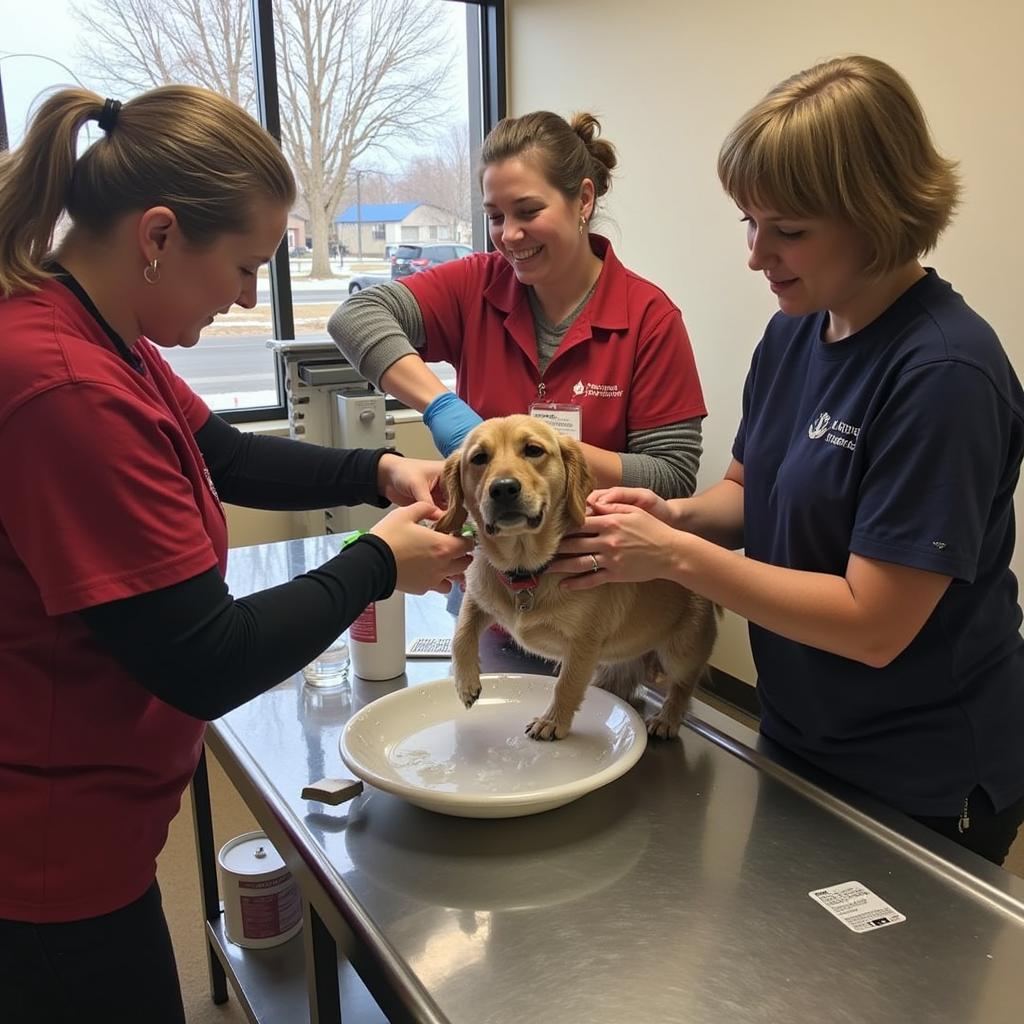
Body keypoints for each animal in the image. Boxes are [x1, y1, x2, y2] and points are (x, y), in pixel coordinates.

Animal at [434, 411, 720, 741]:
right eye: (479, 458)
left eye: (533, 450)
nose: (504, 488)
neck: (526, 570)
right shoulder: (477, 598)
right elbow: (462, 634)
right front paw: (466, 682)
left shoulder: (583, 643)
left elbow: (567, 684)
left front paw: (553, 721)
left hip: (679, 652)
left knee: (683, 686)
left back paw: (668, 717)